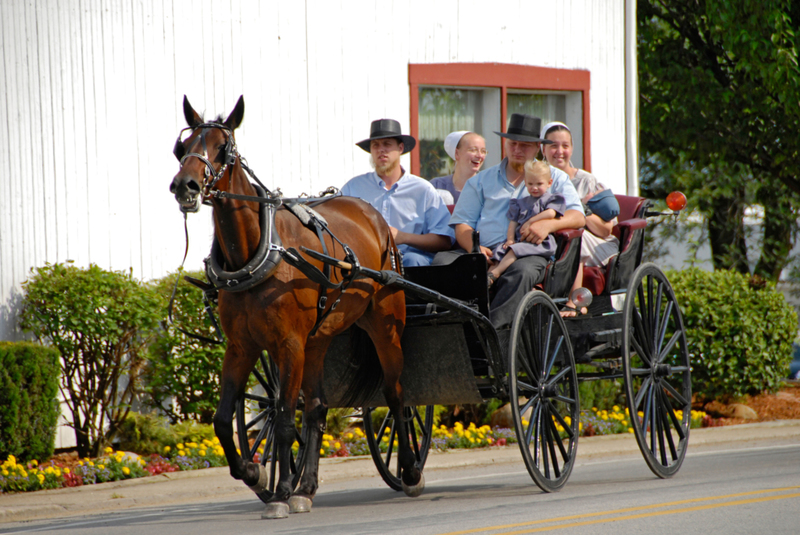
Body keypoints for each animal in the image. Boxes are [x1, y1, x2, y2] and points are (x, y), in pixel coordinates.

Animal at [170, 96, 424, 520]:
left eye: (223, 147)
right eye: (182, 147)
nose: (184, 185)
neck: (258, 252)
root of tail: (374, 216)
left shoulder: (289, 344)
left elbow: (287, 419)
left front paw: (280, 491)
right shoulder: (242, 346)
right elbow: (223, 421)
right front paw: (256, 473)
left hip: (385, 326)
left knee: (395, 393)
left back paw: (409, 470)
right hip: (318, 341)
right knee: (318, 408)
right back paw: (307, 488)